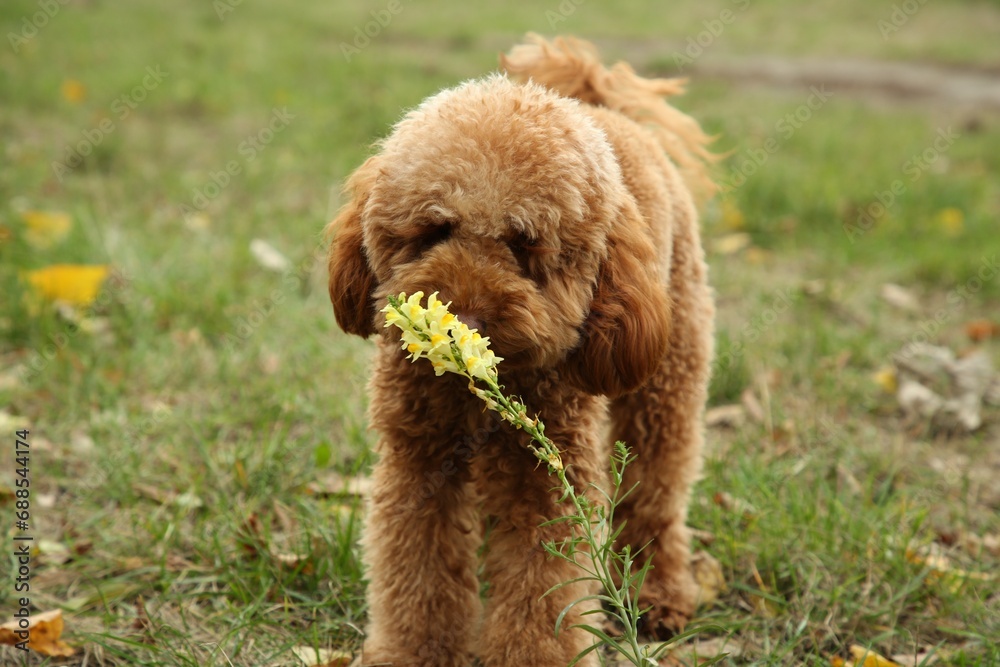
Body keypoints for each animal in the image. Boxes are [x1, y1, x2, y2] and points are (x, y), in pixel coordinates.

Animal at [326, 35, 712, 667]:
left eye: (525, 246)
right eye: (434, 229)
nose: (464, 322)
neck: (480, 394)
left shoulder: (551, 475)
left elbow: (542, 592)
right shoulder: (419, 459)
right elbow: (416, 571)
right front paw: (415, 651)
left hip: (669, 371)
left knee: (655, 487)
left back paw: (657, 592)